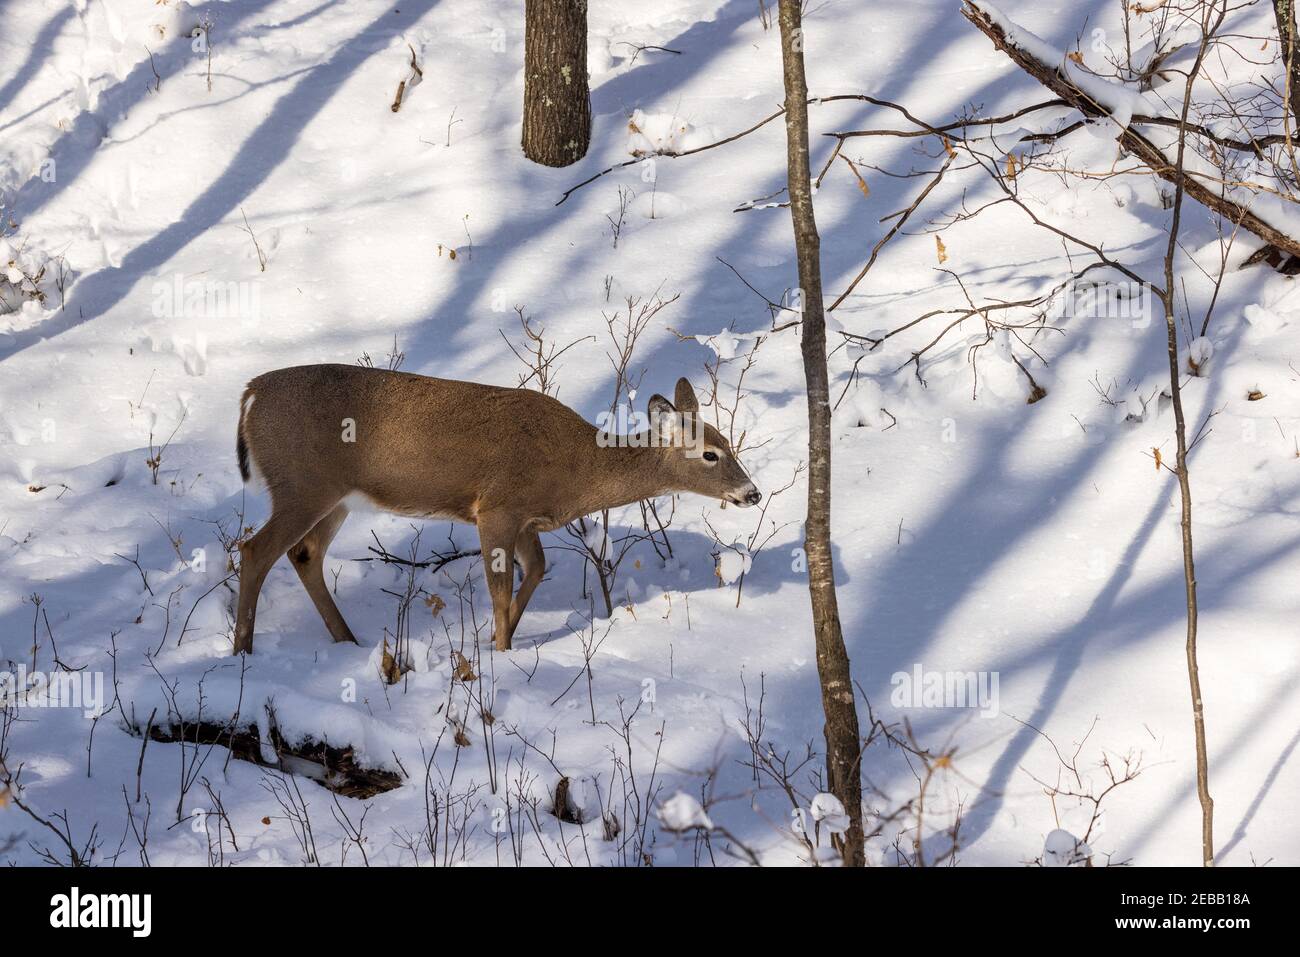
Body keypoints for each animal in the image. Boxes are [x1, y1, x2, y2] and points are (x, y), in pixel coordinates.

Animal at [233, 361, 759, 655]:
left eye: (728, 443)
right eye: (710, 454)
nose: (752, 493)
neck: (576, 467)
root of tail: (250, 393)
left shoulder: (524, 517)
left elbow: (537, 570)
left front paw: (496, 641)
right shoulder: (496, 507)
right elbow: (500, 589)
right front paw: (501, 650)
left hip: (335, 497)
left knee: (305, 553)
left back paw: (347, 640)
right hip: (302, 485)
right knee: (255, 550)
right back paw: (243, 651)